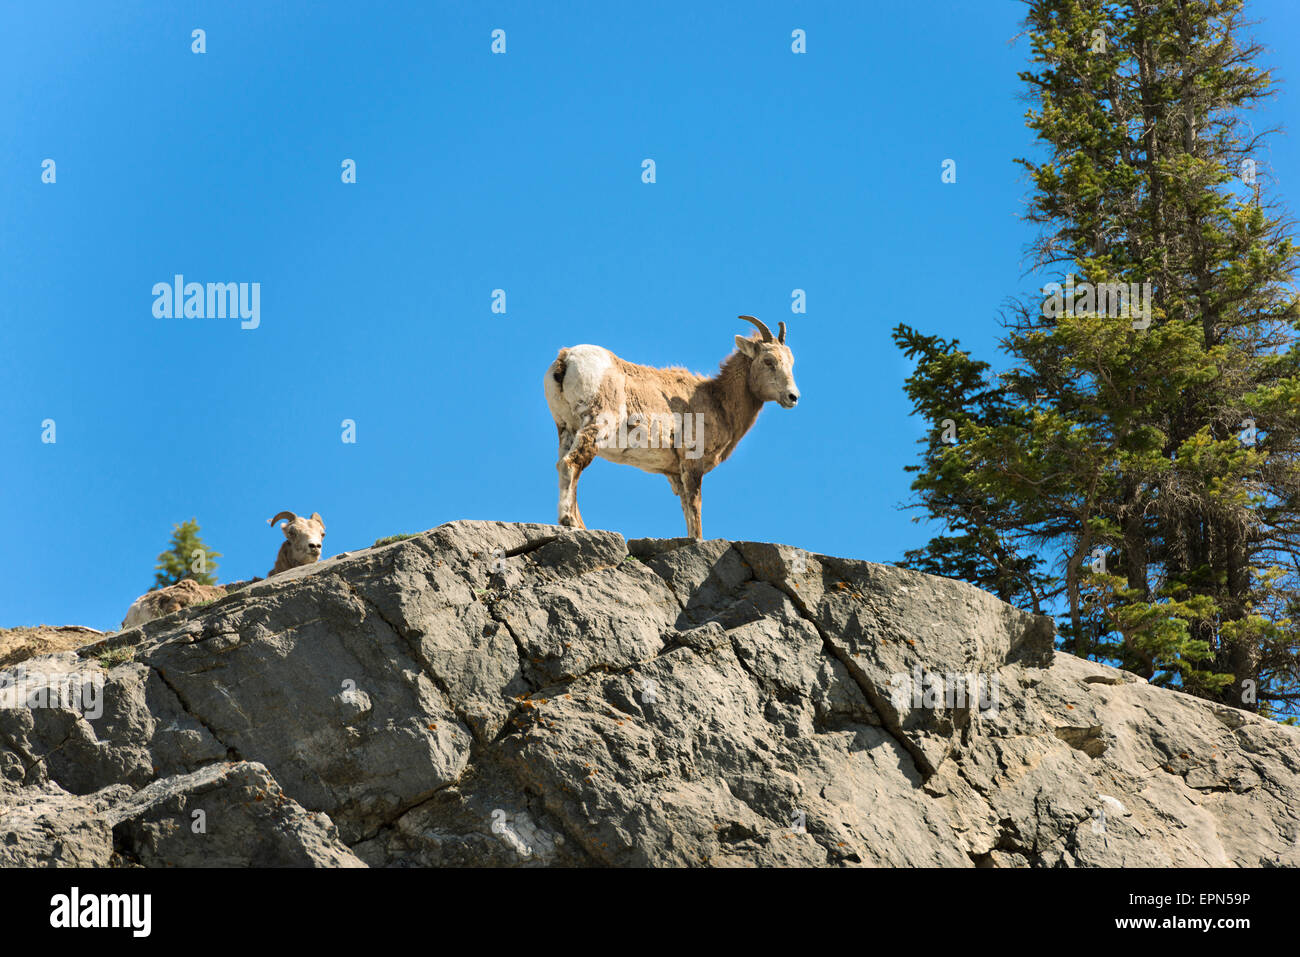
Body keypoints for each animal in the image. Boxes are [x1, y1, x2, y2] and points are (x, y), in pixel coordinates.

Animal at [543, 314, 795, 538]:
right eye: (768, 361)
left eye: (791, 363)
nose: (793, 396)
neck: (718, 400)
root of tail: (566, 358)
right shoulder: (691, 464)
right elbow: (695, 509)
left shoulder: (675, 473)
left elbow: (686, 509)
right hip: (597, 424)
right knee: (571, 463)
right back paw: (570, 521)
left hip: (567, 428)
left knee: (563, 465)